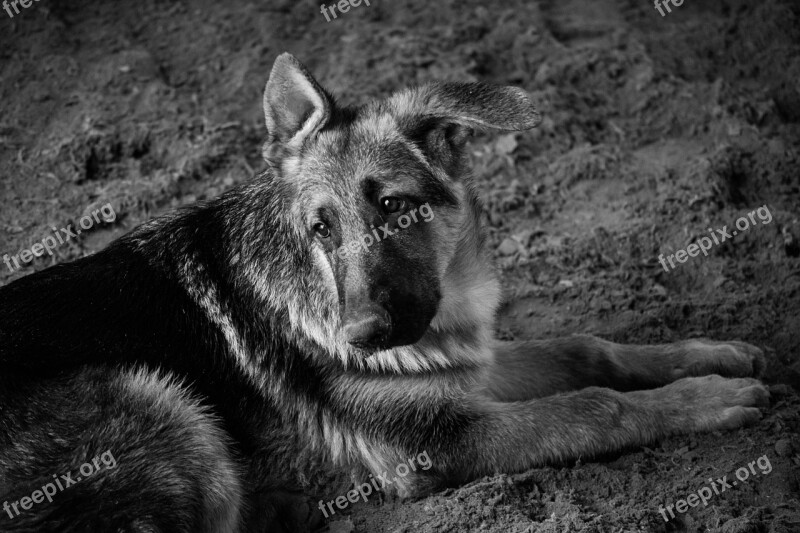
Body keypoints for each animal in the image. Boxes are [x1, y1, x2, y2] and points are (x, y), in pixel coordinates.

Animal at [0, 51, 768, 532]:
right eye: (320, 228)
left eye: (396, 207)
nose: (359, 338)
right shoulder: (437, 439)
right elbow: (594, 406)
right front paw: (705, 400)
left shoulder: (467, 372)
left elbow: (589, 351)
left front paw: (709, 355)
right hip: (162, 402)